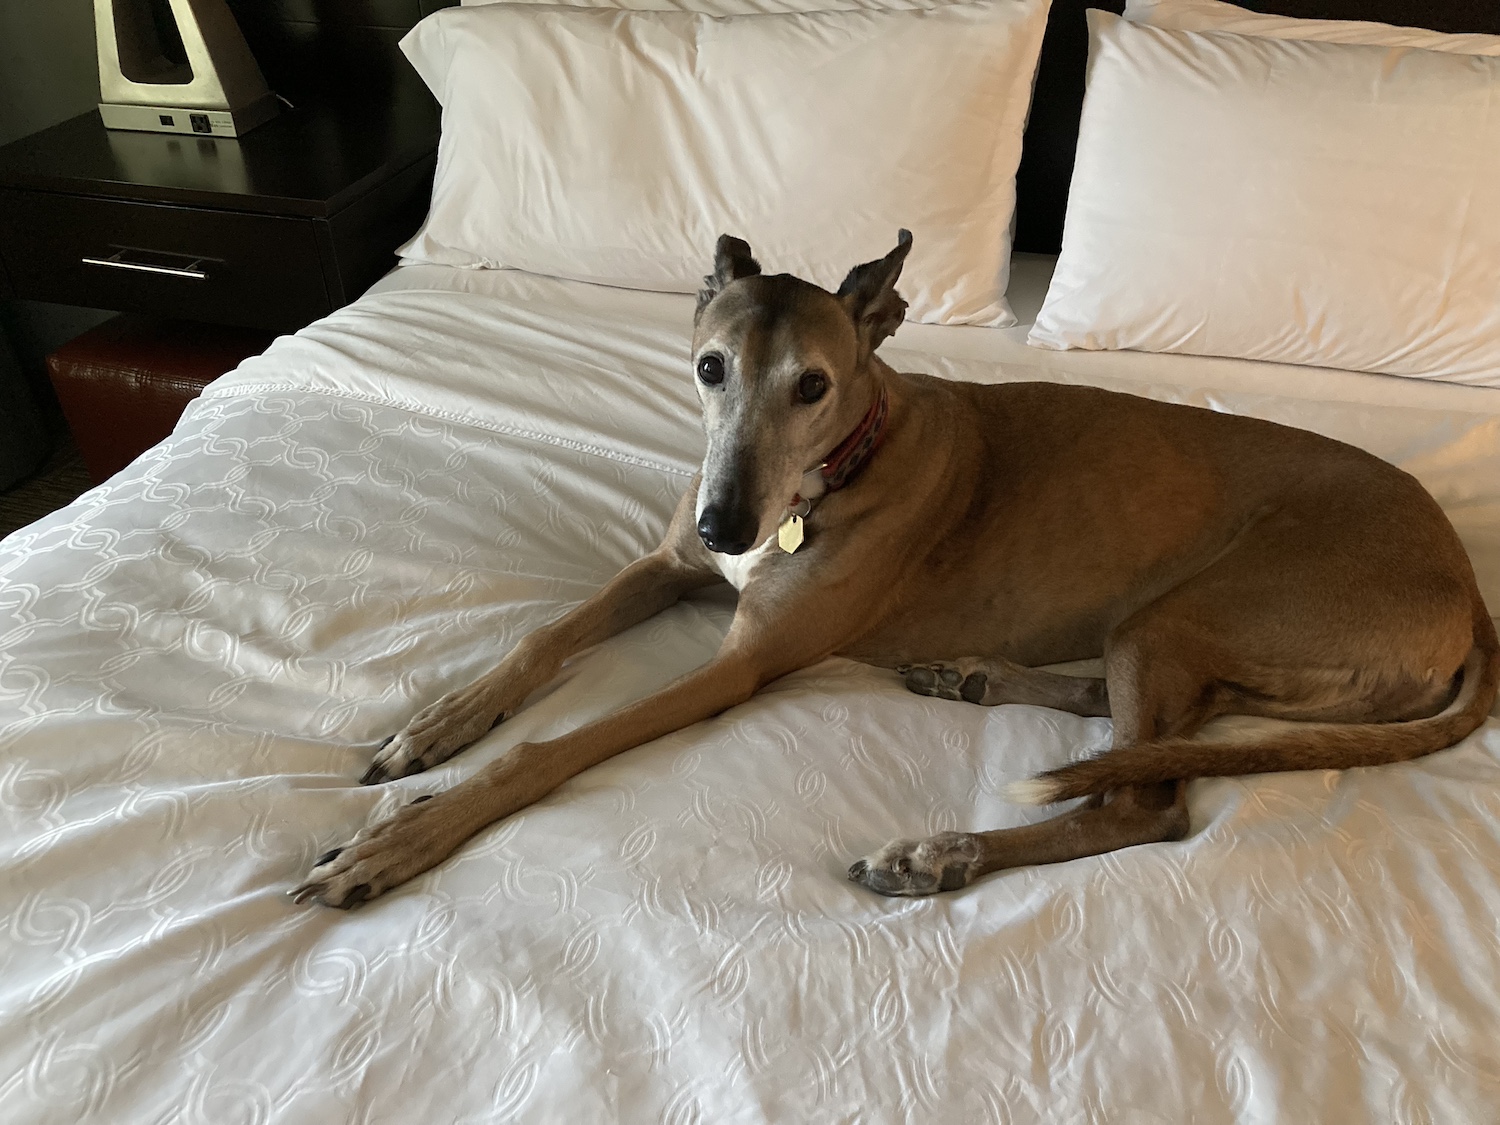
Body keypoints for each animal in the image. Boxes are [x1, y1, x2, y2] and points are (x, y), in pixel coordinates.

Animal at [292, 231, 1500, 906]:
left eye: (813, 385)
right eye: (709, 367)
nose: (728, 525)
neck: (844, 465)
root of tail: (1468, 588)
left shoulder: (736, 666)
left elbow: (553, 749)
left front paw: (404, 836)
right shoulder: (665, 566)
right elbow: (543, 639)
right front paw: (437, 723)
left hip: (1191, 614)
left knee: (1141, 802)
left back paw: (939, 855)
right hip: (1157, 632)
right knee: (1125, 730)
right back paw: (973, 678)